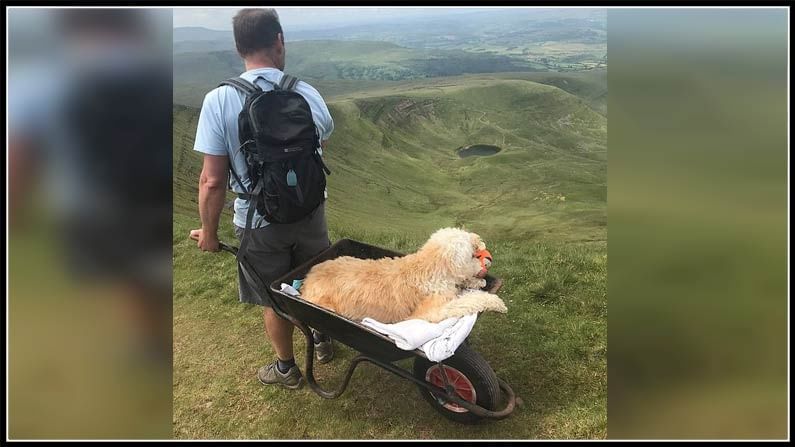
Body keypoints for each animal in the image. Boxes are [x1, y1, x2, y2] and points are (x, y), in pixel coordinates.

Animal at [302, 229, 506, 324]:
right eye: (472, 253)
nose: (479, 240)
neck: (431, 268)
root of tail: (306, 278)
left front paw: (478, 282)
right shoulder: (432, 311)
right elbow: (469, 301)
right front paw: (496, 303)